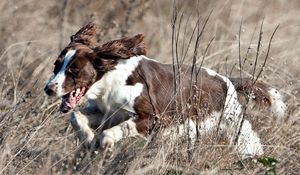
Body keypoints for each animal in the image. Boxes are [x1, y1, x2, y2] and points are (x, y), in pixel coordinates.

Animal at [44, 22, 286, 157]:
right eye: (56, 65)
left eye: (74, 71)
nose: (49, 89)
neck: (111, 81)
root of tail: (227, 81)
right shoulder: (107, 113)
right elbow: (76, 116)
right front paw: (87, 139)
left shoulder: (153, 118)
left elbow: (112, 132)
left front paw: (105, 143)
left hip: (232, 123)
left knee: (249, 141)